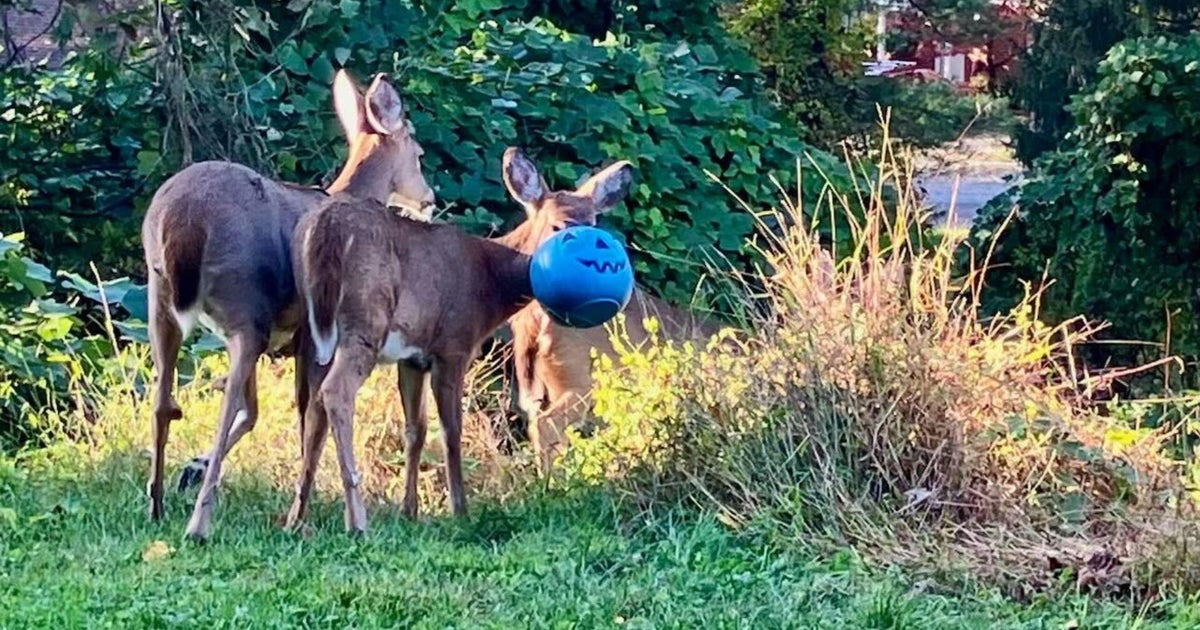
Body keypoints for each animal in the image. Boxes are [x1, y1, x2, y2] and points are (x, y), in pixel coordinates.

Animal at [140, 68, 435, 541]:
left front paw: (195, 467)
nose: (428, 198)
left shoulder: (287, 337)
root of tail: (182, 221)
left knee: (164, 402)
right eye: (419, 153)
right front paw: (305, 512)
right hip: (245, 307)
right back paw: (198, 523)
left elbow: (268, 412)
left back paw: (158, 504)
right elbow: (309, 415)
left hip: (161, 301)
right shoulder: (312, 337)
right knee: (226, 407)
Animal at [281, 147, 636, 533]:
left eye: (594, 222)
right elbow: (451, 431)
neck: (491, 282)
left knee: (314, 406)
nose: (592, 257)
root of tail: (326, 228)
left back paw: (296, 518)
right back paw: (357, 521)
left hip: (315, 332)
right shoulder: (454, 344)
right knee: (336, 393)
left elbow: (416, 430)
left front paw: (410, 512)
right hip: (365, 320)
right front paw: (460, 511)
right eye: (558, 226)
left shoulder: (413, 358)